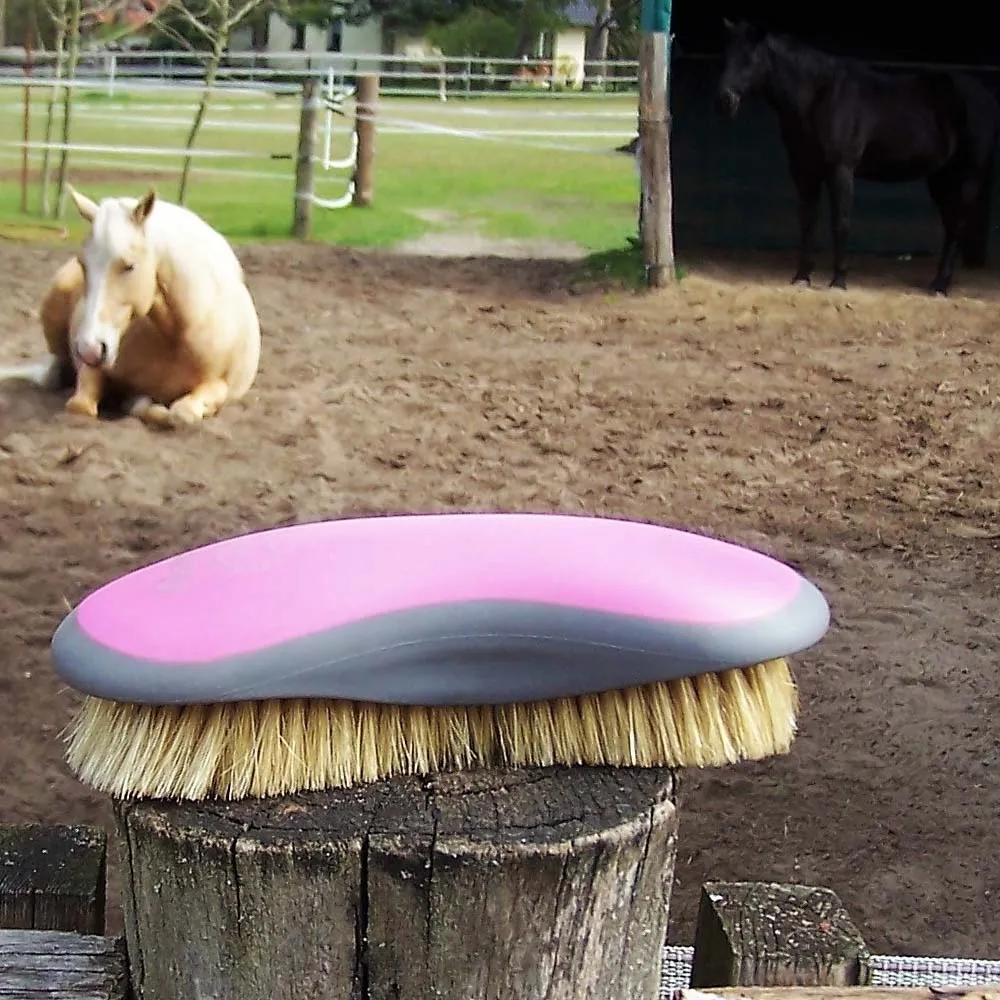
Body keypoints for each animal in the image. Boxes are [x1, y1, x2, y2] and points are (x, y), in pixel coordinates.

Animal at [0, 185, 261, 428]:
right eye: (83, 264)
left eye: (129, 266)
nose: (90, 349)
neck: (179, 335)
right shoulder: (93, 369)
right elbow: (82, 405)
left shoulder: (219, 385)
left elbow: (182, 414)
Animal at [715, 19, 1000, 295]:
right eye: (727, 56)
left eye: (750, 58)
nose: (724, 100)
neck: (819, 96)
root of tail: (986, 96)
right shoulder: (804, 171)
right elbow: (807, 221)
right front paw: (801, 278)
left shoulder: (841, 168)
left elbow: (840, 222)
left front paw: (838, 281)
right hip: (941, 178)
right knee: (951, 224)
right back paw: (938, 283)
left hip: (967, 177)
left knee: (958, 224)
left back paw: (940, 285)